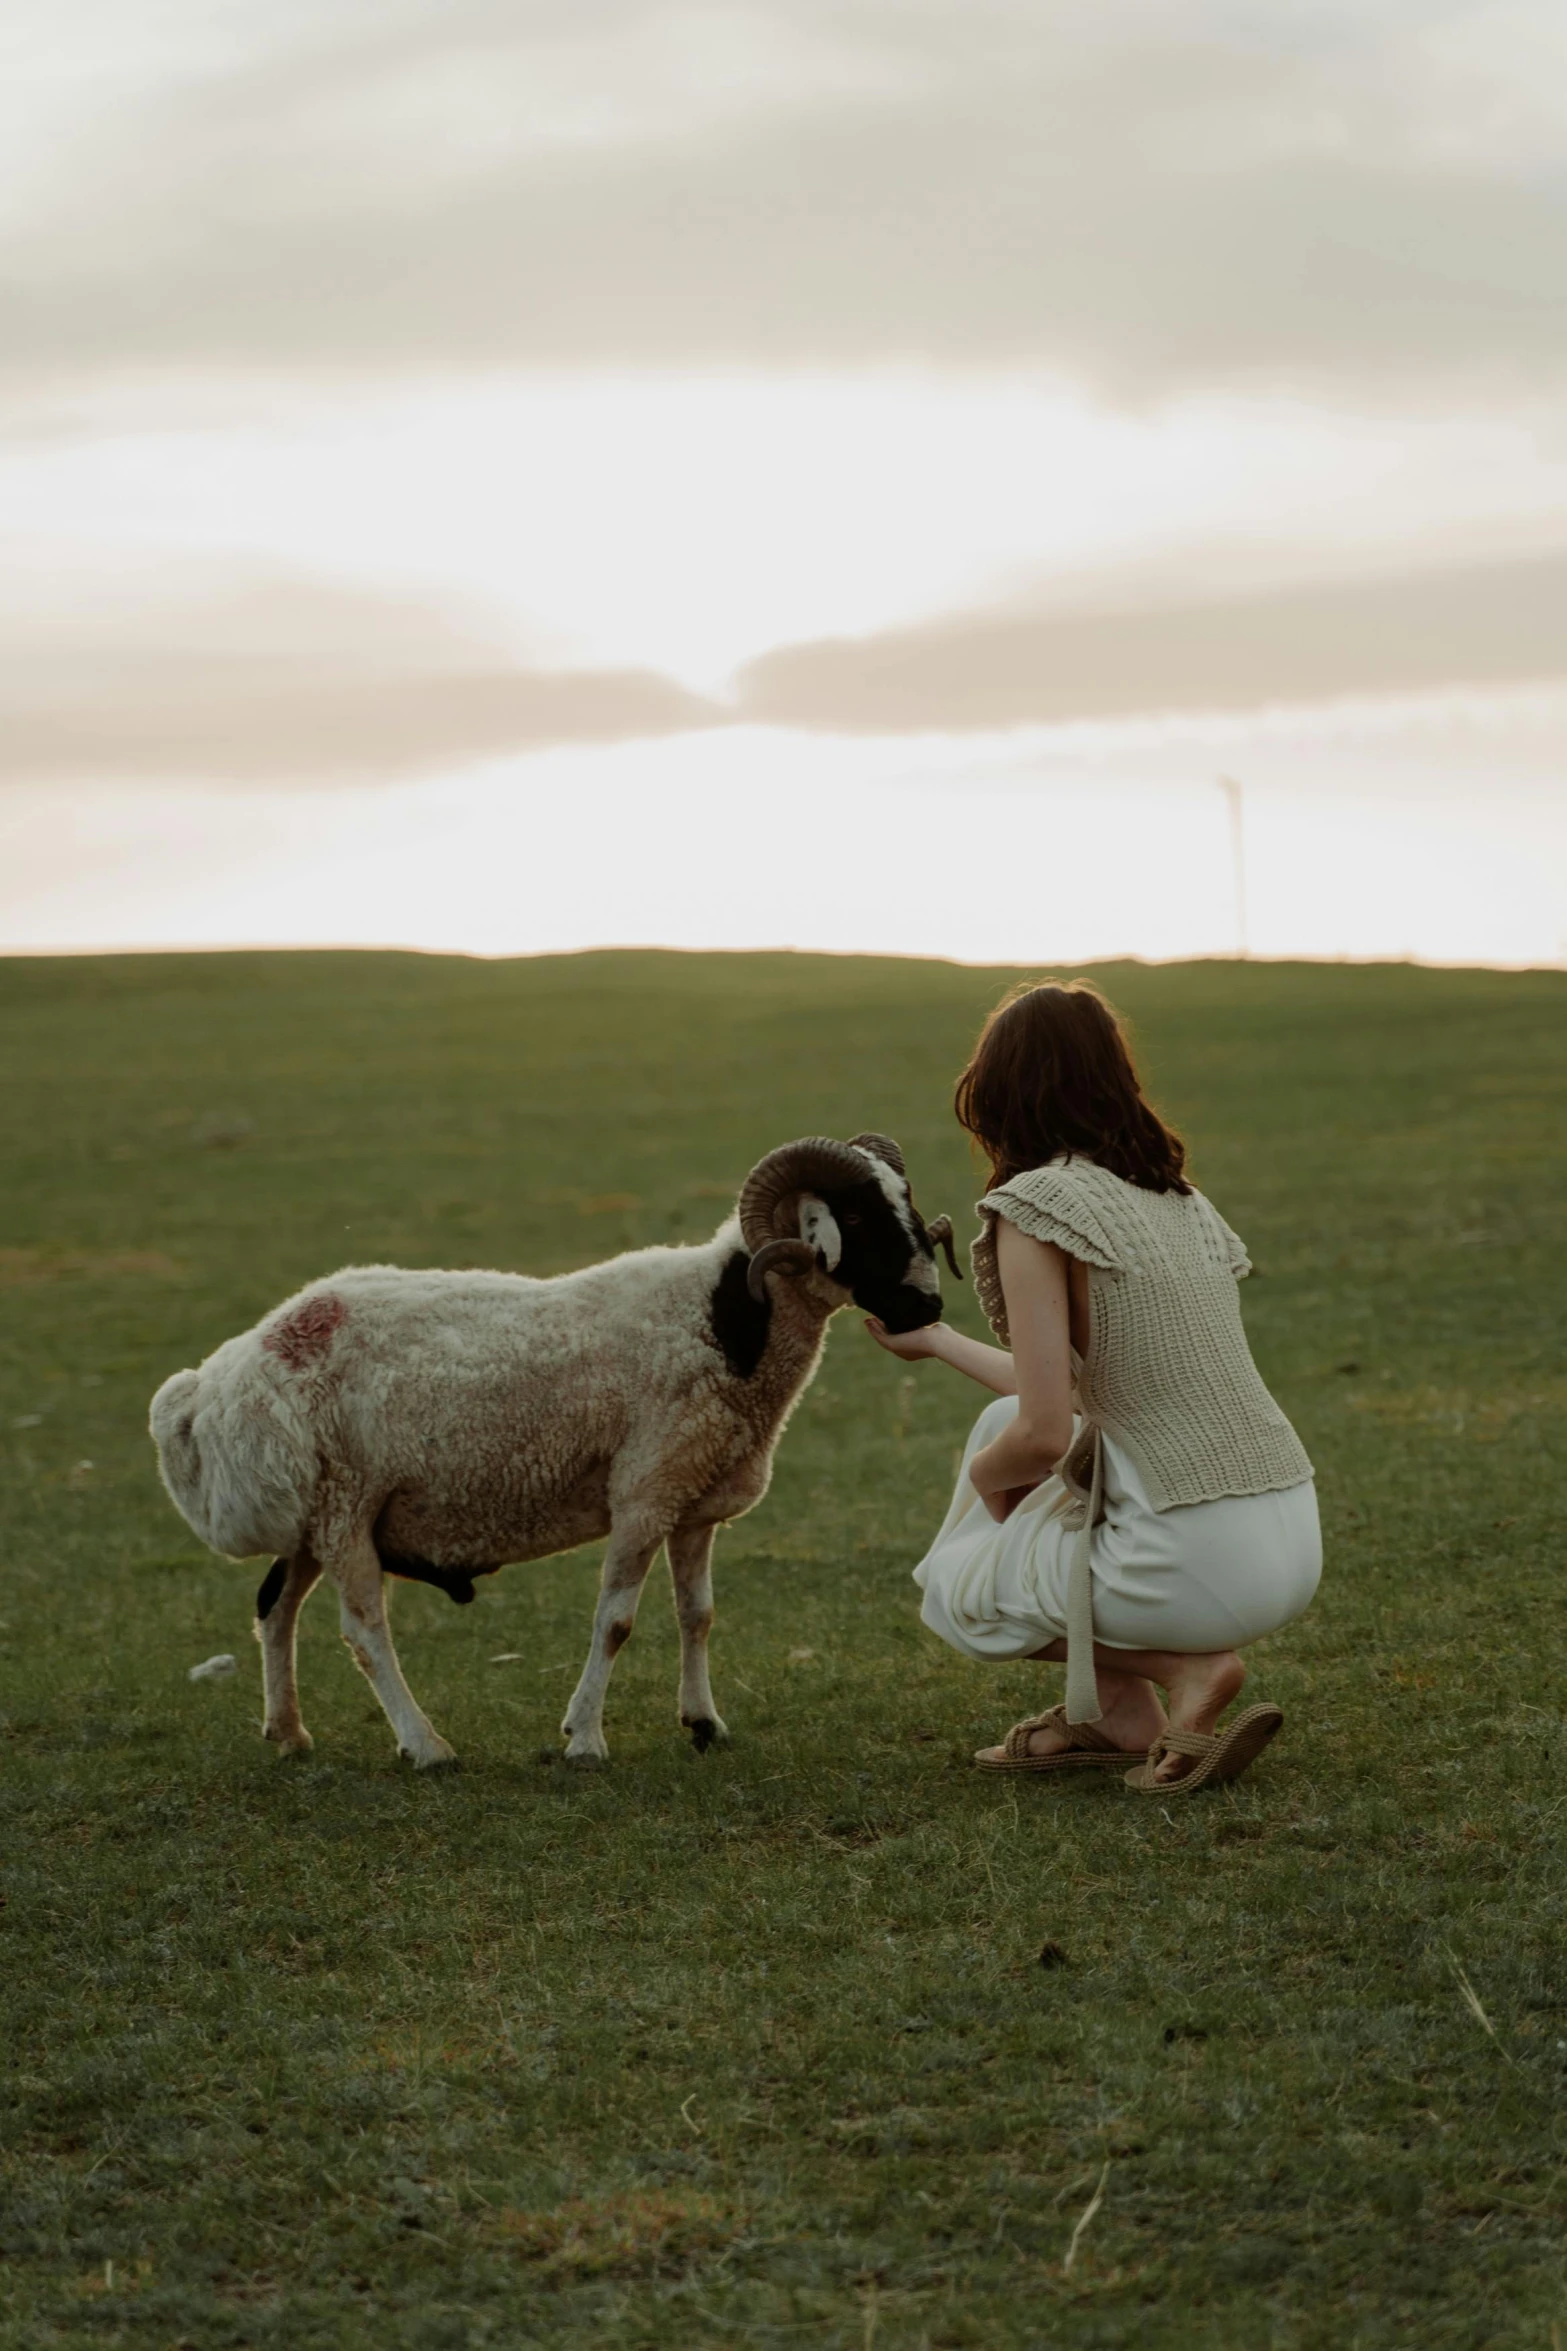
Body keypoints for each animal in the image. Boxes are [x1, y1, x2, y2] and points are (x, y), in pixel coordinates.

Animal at [150, 1133, 958, 1767]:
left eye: (908, 1204)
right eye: (856, 1217)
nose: (927, 1307)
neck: (727, 1321)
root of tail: (221, 1379)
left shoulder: (693, 1502)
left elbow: (697, 1614)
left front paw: (704, 1723)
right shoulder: (642, 1492)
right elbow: (616, 1621)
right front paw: (584, 1740)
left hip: (317, 1512)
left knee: (275, 1607)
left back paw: (288, 1733)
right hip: (348, 1505)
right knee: (363, 1632)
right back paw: (425, 1745)